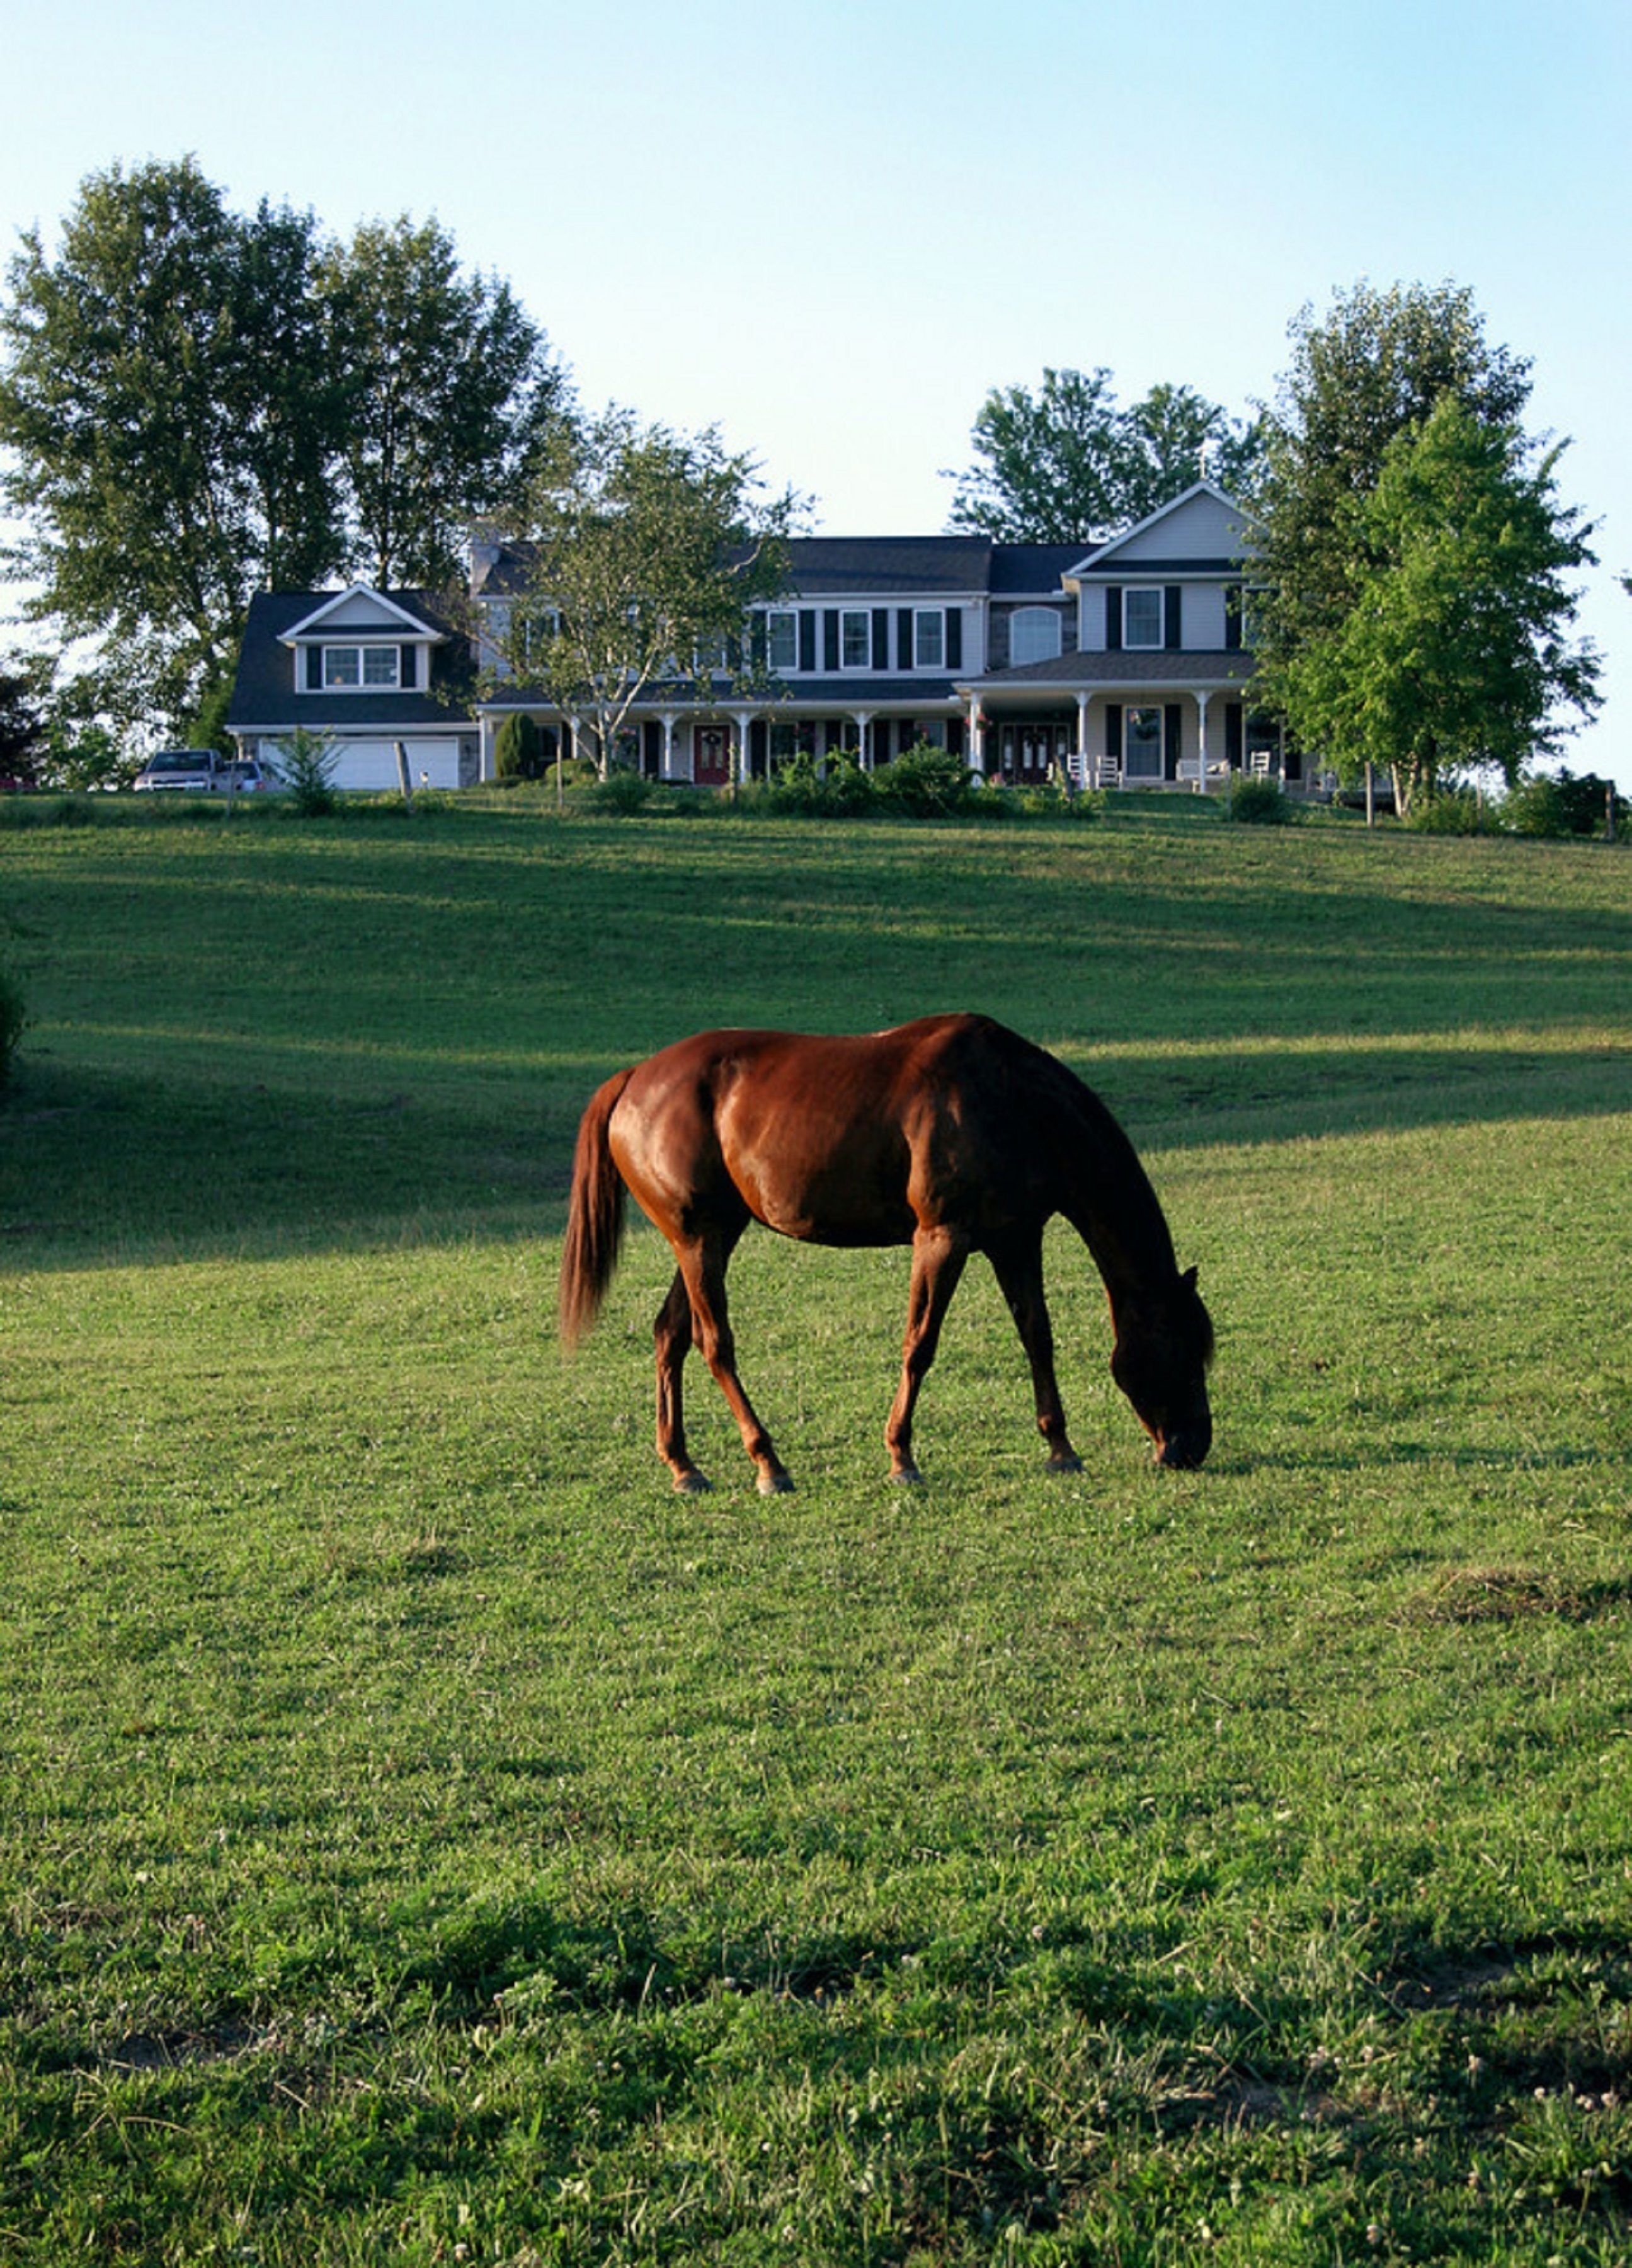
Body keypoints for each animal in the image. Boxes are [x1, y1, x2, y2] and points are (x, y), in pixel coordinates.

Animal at [559, 1013, 1213, 1493]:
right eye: (1182, 1351)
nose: (1191, 1447)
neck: (1012, 1100)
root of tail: (634, 1078)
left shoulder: (1015, 1240)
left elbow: (1037, 1336)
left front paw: (1060, 1447)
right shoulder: (942, 1238)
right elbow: (919, 1344)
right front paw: (902, 1456)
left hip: (710, 1236)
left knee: (669, 1334)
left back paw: (684, 1466)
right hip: (700, 1240)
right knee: (713, 1343)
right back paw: (768, 1464)